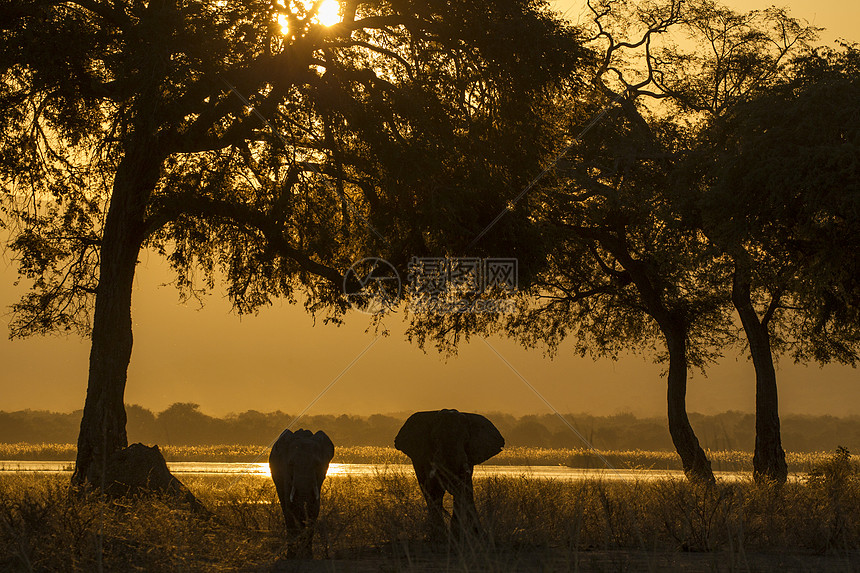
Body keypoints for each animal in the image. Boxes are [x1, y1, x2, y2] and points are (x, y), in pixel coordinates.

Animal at [270, 426, 334, 556]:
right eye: (291, 464)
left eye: (317, 464)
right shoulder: (285, 473)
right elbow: (292, 505)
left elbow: (314, 507)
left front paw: (307, 553)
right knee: (285, 507)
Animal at [394, 408, 508, 540]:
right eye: (435, 439)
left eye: (466, 439)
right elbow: (434, 490)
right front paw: (442, 536)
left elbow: (463, 488)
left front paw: (457, 535)